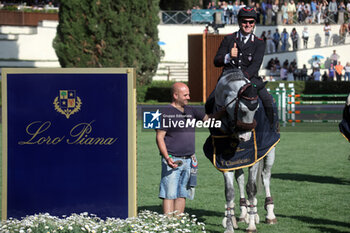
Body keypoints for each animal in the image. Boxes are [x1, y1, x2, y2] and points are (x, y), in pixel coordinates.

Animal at [205, 69, 278, 233]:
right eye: (243, 110)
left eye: (256, 109)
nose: (246, 137)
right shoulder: (227, 161)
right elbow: (229, 192)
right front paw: (229, 225)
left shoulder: (254, 156)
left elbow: (252, 188)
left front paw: (251, 225)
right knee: (240, 178)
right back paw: (242, 213)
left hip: (270, 151)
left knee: (265, 177)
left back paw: (268, 214)